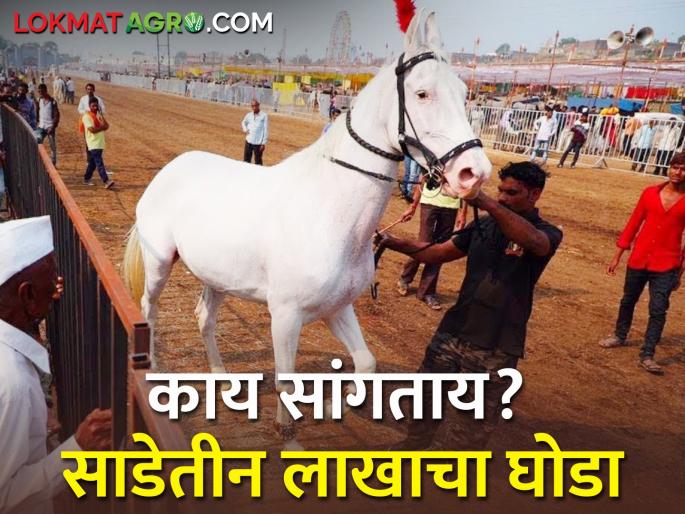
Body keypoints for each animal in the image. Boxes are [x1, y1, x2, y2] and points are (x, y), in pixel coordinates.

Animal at [122, 10, 492, 447]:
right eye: (422, 94)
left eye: (463, 91)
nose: (474, 173)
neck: (330, 214)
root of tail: (170, 169)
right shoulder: (285, 315)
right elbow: (287, 379)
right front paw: (287, 433)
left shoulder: (337, 308)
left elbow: (366, 364)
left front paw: (332, 407)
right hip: (160, 263)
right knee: (149, 309)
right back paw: (153, 370)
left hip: (217, 279)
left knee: (204, 319)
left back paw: (222, 379)